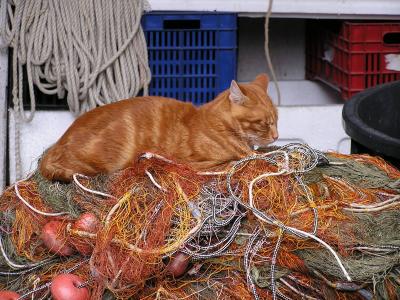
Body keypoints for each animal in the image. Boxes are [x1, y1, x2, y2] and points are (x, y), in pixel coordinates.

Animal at [39, 74, 278, 182]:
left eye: (277, 119)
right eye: (265, 123)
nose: (277, 136)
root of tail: (57, 144)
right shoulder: (195, 162)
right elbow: (237, 161)